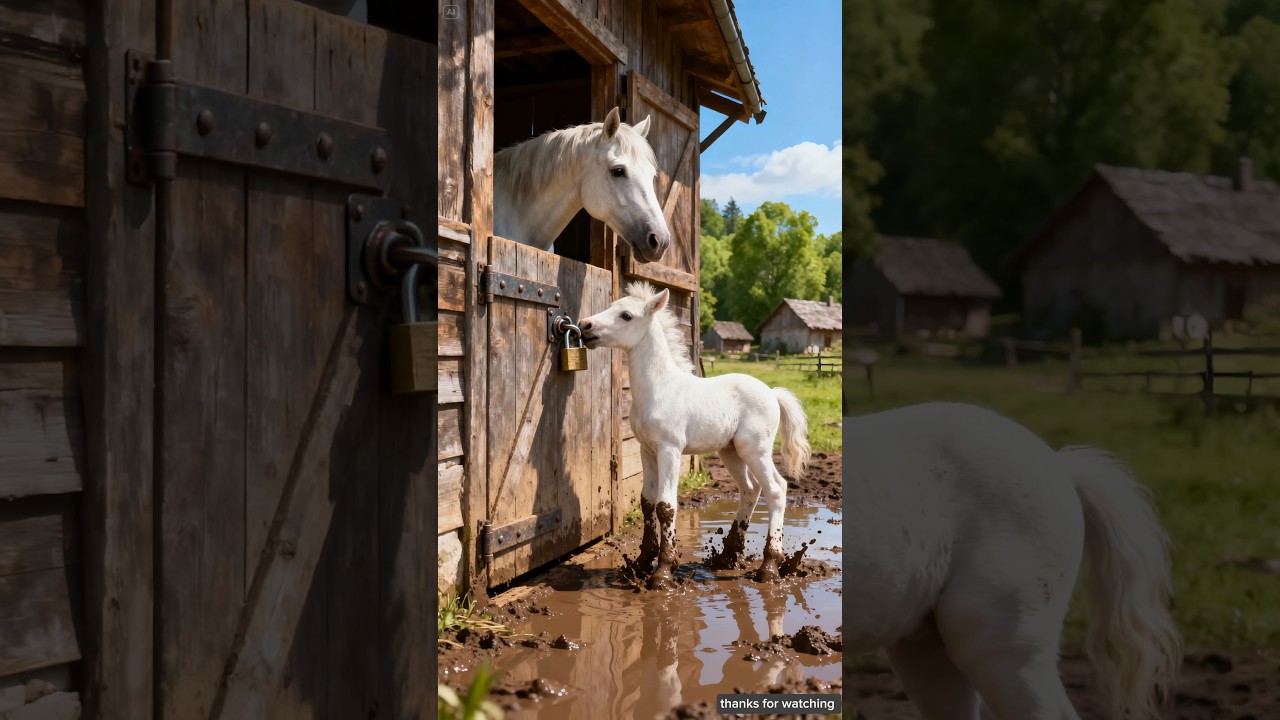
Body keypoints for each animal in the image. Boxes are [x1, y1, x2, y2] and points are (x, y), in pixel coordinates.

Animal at [577, 281, 812, 590]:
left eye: (626, 315)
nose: (584, 325)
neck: (659, 388)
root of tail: (773, 393)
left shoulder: (670, 449)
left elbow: (666, 505)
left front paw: (663, 572)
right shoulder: (646, 449)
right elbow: (647, 501)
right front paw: (641, 563)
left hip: (755, 449)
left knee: (776, 488)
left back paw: (770, 567)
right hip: (730, 451)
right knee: (751, 489)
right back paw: (727, 558)